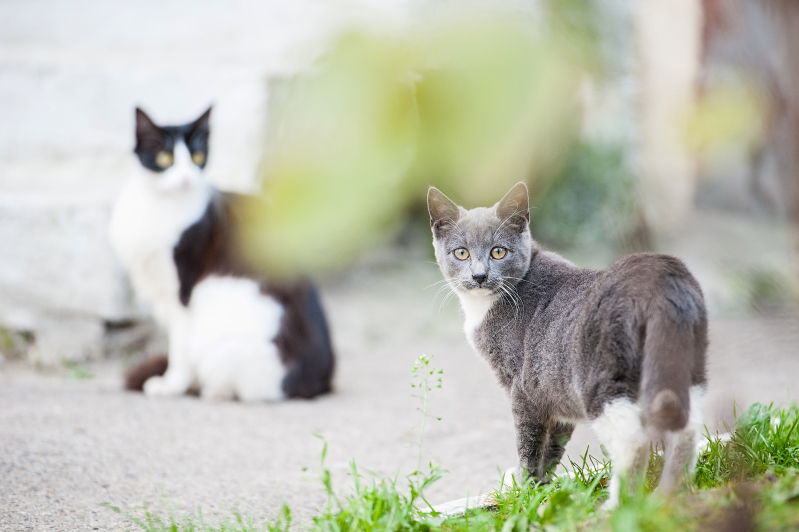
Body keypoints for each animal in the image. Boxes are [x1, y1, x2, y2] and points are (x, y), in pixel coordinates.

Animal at [109, 107, 334, 400]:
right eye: (165, 158)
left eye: (198, 157)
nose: (186, 179)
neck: (159, 202)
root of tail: (318, 381)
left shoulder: (182, 293)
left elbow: (179, 349)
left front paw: (172, 385)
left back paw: (211, 389)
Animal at [428, 182, 708, 508]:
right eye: (461, 253)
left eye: (498, 251)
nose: (479, 275)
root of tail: (658, 283)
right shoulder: (553, 387)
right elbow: (554, 444)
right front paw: (544, 486)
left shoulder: (522, 387)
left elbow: (529, 442)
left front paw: (523, 486)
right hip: (685, 367)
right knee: (686, 431)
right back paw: (669, 497)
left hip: (602, 381)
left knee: (634, 443)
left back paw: (616, 508)